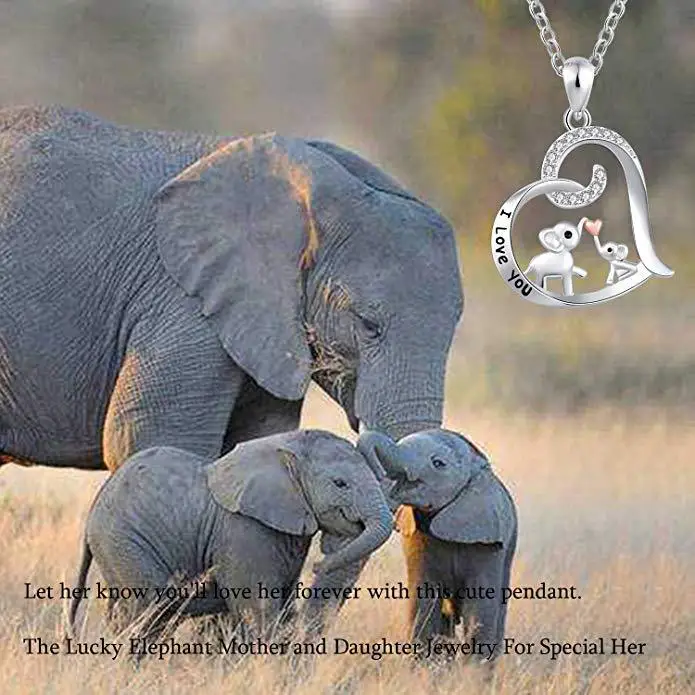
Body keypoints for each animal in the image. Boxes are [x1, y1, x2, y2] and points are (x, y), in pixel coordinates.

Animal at [68, 430, 393, 644]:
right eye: (340, 483)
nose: (318, 565)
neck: (285, 446)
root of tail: (93, 512)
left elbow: (284, 605)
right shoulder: (244, 531)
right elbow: (258, 609)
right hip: (124, 543)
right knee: (148, 613)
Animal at [358, 429, 517, 660]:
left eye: (438, 463)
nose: (378, 473)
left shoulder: (488, 539)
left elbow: (481, 606)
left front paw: (472, 671)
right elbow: (423, 599)